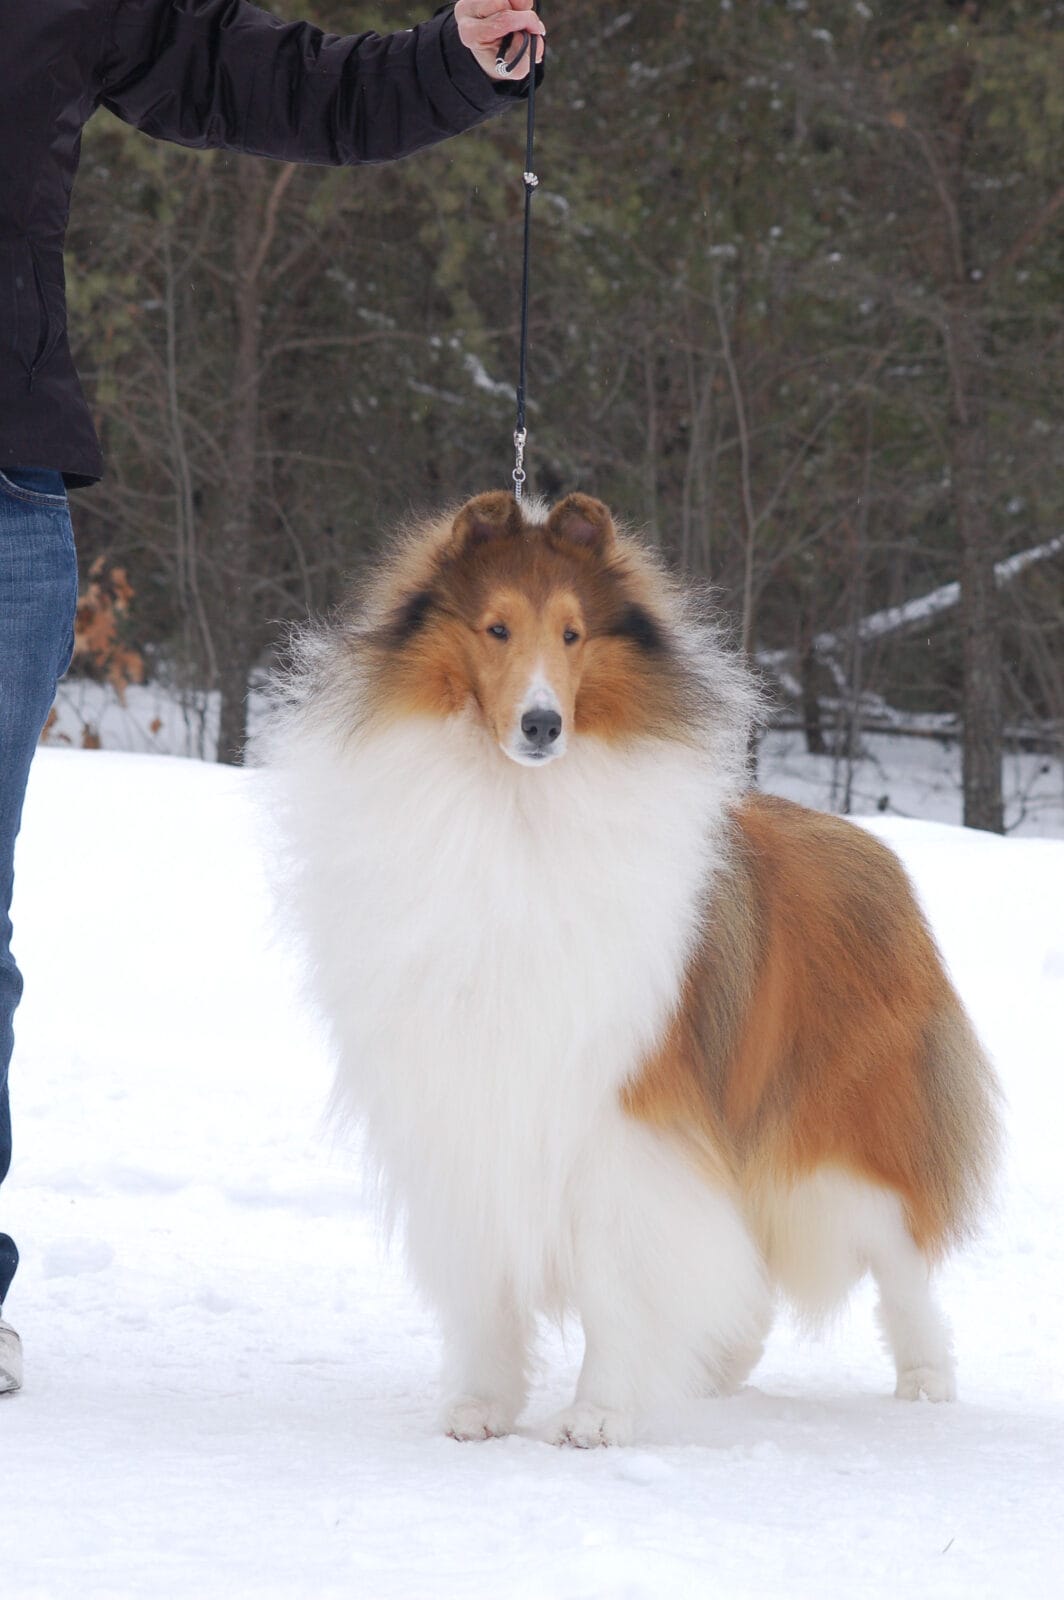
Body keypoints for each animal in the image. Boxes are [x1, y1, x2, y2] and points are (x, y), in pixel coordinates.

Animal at [260, 489, 998, 1452]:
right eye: (496, 628)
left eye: (574, 635)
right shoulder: (462, 1110)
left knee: (902, 1263)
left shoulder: (626, 1121)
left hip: (847, 1145)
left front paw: (598, 1415)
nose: (542, 724)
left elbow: (618, 1280)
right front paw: (481, 1406)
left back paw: (927, 1382)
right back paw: (717, 1370)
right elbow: (488, 1287)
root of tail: (877, 854)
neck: (517, 809)